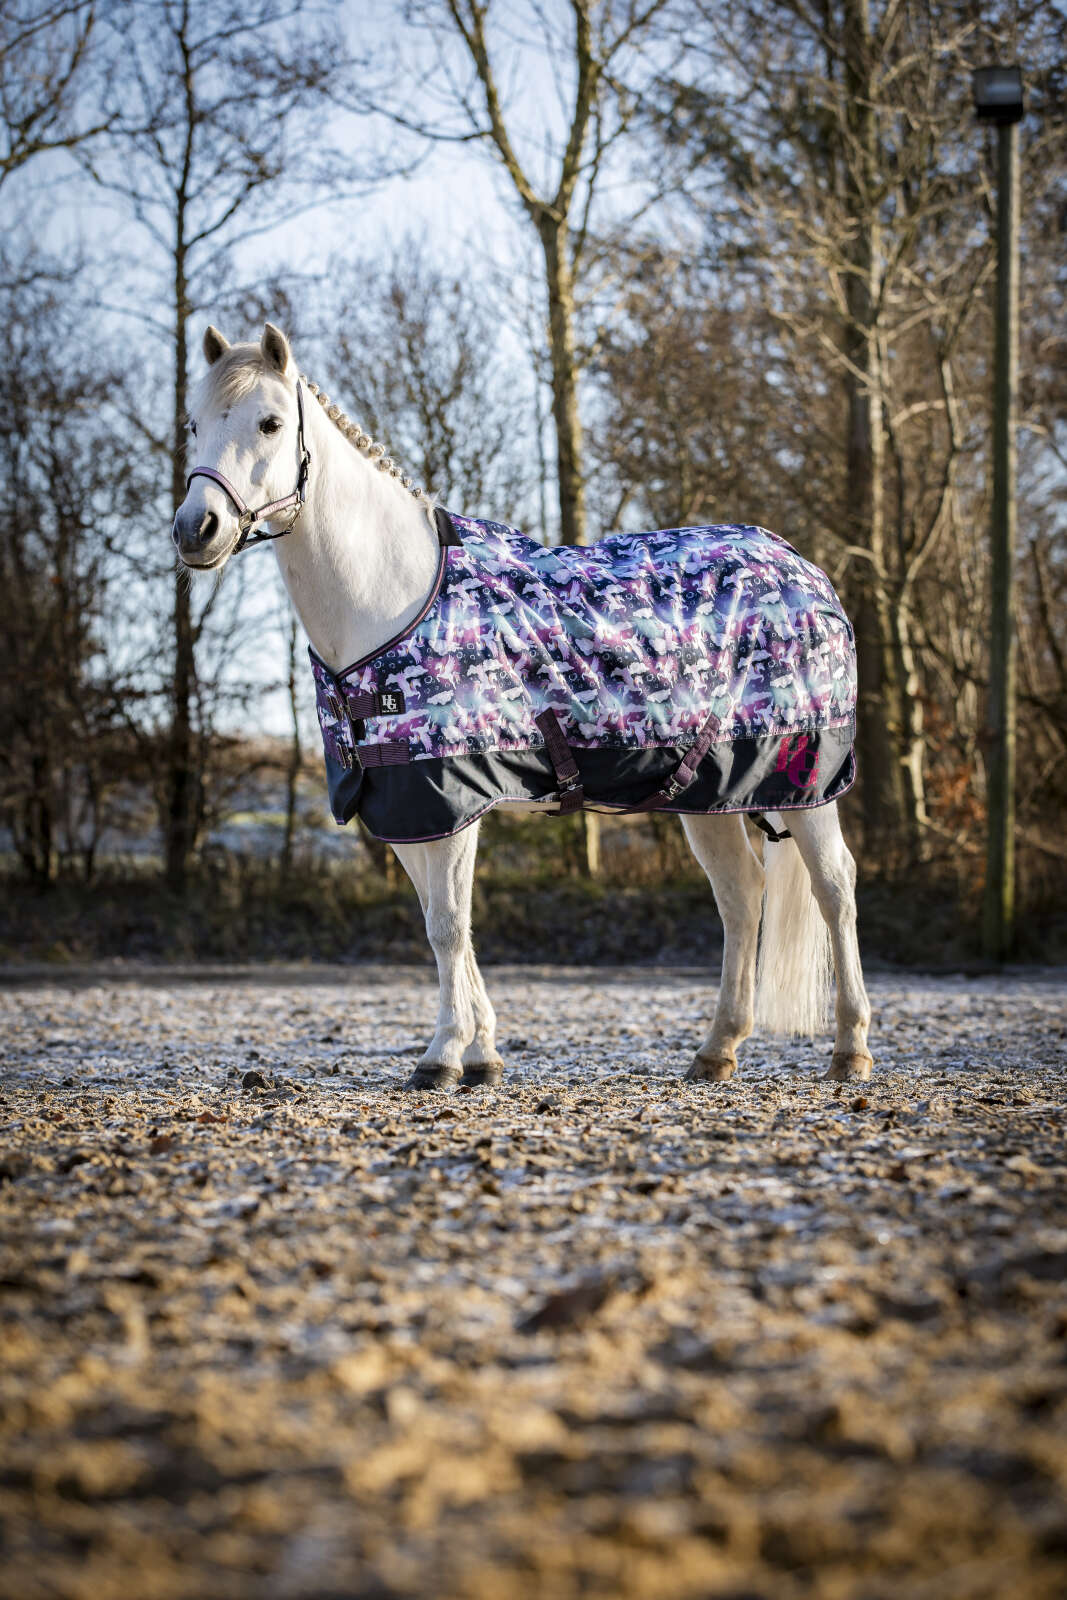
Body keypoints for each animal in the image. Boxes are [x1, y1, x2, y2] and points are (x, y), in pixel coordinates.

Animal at [173, 323, 873, 1091]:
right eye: (194, 423)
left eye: (270, 423)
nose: (196, 529)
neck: (392, 599)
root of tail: (802, 567)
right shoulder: (407, 805)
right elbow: (443, 921)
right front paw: (480, 1055)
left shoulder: (451, 798)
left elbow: (448, 925)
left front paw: (442, 1057)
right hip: (707, 792)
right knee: (742, 894)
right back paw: (717, 1050)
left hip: (806, 784)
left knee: (834, 888)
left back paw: (849, 1048)